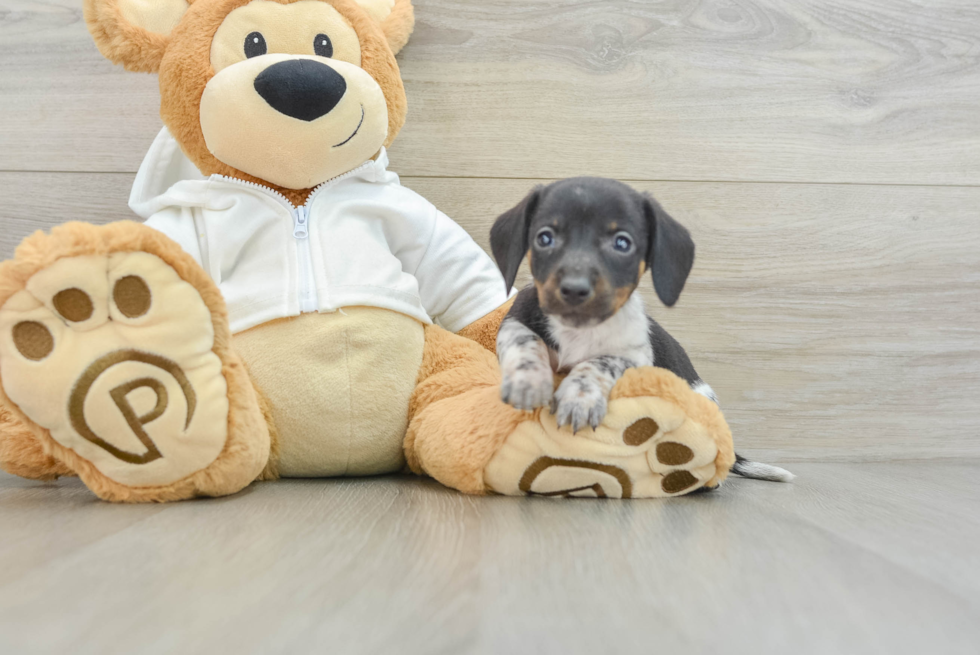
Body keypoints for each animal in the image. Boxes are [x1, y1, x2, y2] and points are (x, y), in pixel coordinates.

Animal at [494, 177, 792, 484]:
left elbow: (599, 362)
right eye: (544, 238)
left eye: (622, 243)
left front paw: (580, 396)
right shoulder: (515, 319)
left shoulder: (634, 357)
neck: (579, 331)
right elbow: (525, 341)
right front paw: (528, 381)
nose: (575, 289)